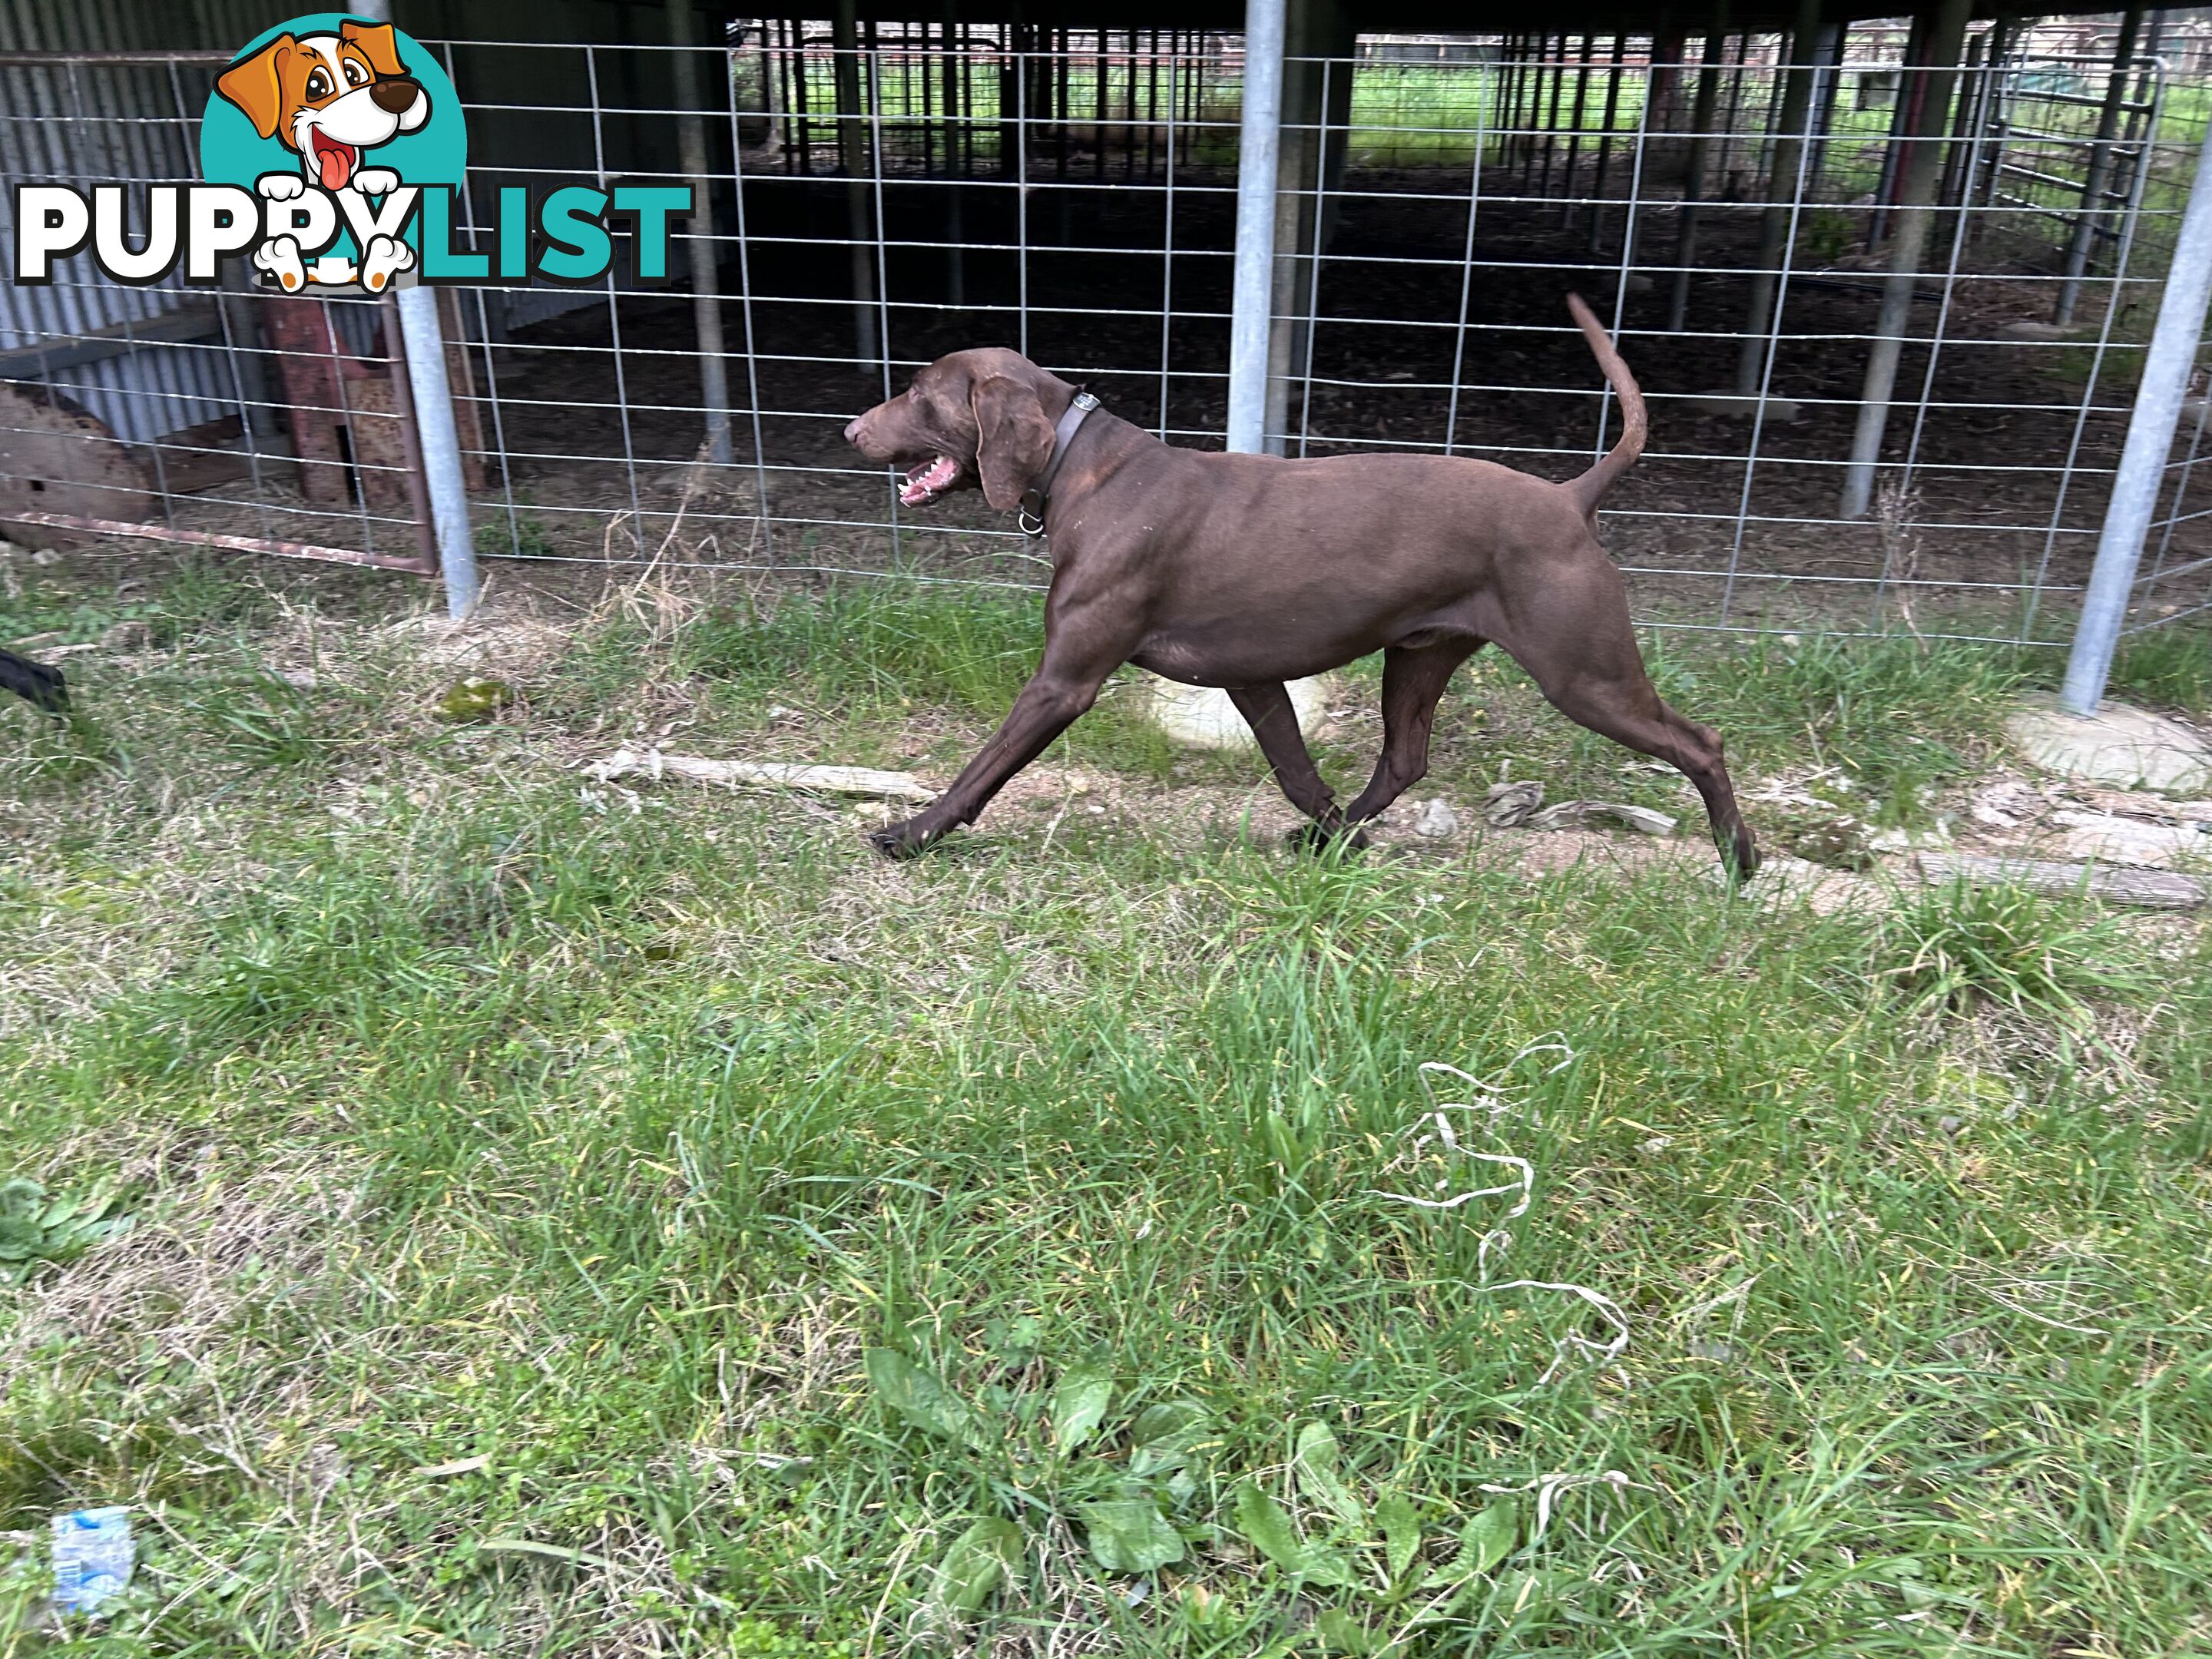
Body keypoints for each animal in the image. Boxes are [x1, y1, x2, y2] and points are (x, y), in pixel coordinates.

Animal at [845, 296, 1760, 885]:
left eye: (920, 393)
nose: (851, 430)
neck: (1081, 466)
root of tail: (1571, 499)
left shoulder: (1064, 682)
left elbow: (982, 769)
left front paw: (912, 833)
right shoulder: (1250, 678)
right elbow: (1296, 769)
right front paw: (1332, 838)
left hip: (1584, 673)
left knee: (1702, 743)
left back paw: (1741, 863)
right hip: (1420, 657)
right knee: (1404, 759)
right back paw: (1343, 835)